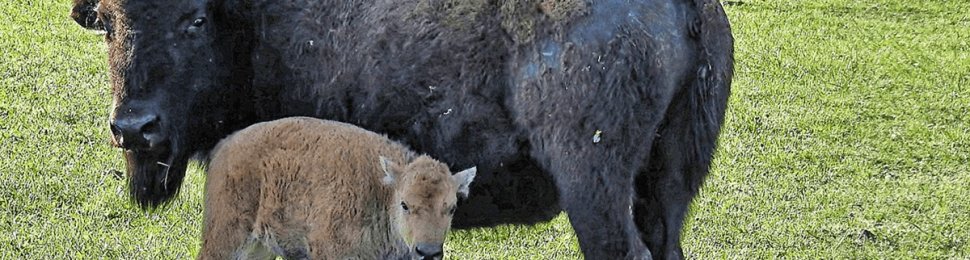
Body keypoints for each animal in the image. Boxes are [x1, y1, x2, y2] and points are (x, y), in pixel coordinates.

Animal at [199, 117, 474, 258]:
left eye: (451, 208)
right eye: (405, 204)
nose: (428, 252)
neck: (383, 193)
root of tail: (226, 145)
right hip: (226, 238)